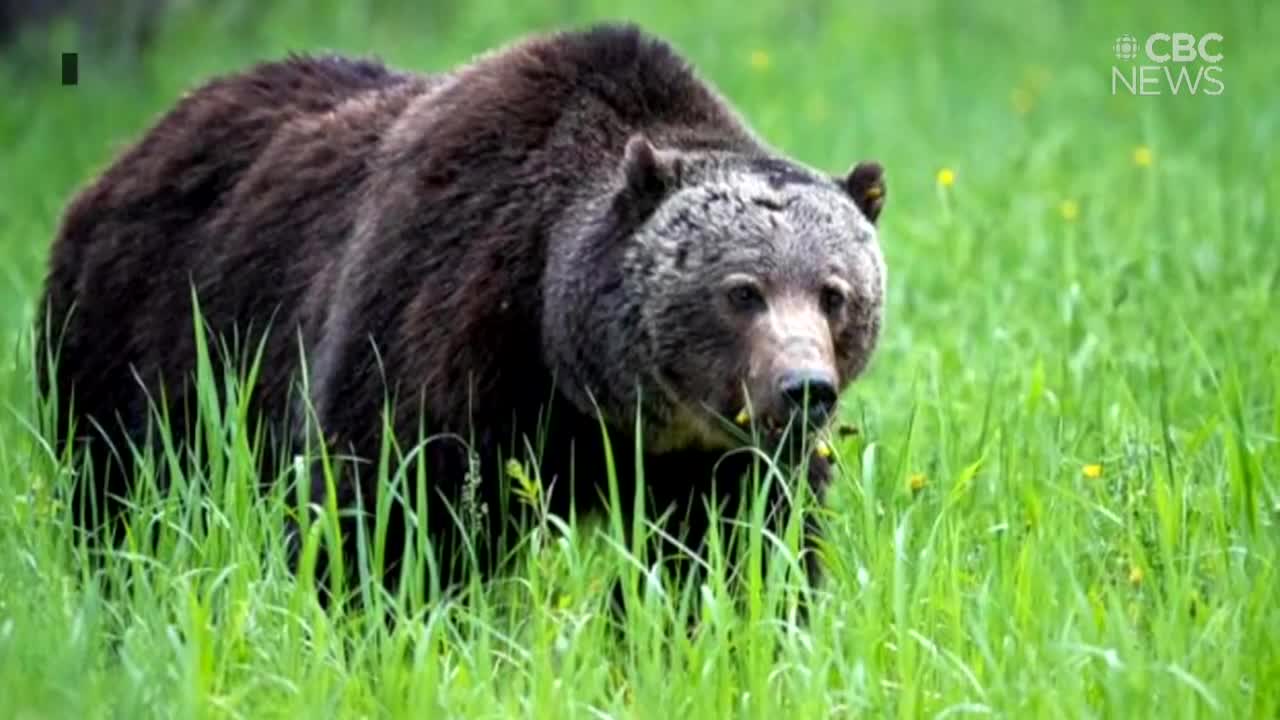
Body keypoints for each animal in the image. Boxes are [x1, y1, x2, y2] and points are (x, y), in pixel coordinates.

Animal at [35, 22, 885, 604]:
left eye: (834, 293)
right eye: (741, 290)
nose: (803, 389)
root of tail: (132, 148)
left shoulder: (718, 460)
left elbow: (737, 557)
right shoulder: (447, 318)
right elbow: (386, 515)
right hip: (141, 350)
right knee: (117, 509)